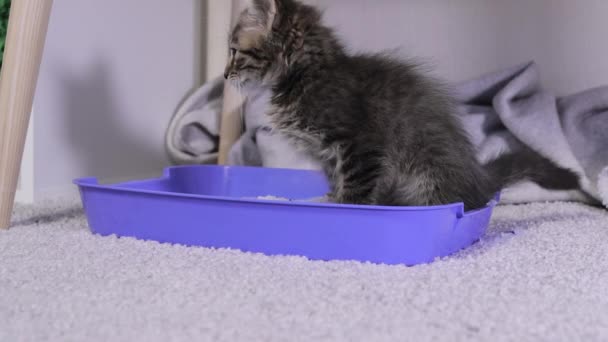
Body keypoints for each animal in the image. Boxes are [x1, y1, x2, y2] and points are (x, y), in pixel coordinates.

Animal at [224, 0, 580, 211]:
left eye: (233, 52)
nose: (225, 74)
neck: (306, 73)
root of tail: (478, 180)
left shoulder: (360, 144)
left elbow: (355, 187)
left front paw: (345, 208)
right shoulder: (330, 155)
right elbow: (339, 180)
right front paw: (331, 198)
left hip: (426, 173)